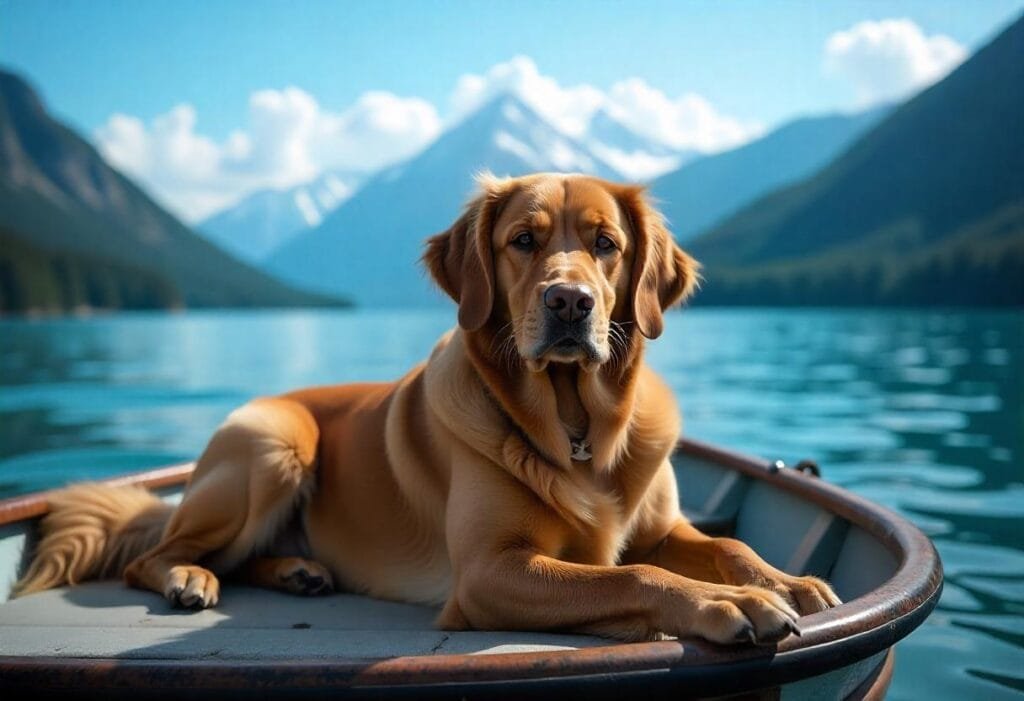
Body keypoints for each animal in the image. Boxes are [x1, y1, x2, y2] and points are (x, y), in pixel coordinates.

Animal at [14, 171, 839, 642]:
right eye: (523, 240)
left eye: (606, 243)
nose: (569, 302)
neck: (576, 427)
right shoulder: (489, 571)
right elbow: (630, 576)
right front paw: (729, 604)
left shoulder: (662, 526)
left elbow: (725, 545)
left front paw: (784, 581)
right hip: (273, 443)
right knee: (152, 555)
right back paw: (192, 576)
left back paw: (298, 570)